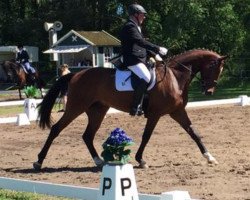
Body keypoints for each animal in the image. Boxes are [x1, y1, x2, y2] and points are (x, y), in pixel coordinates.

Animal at [32, 48, 227, 170]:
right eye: (215, 69)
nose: (209, 92)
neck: (175, 77)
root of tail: (76, 74)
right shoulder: (156, 114)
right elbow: (146, 136)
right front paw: (141, 160)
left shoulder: (177, 112)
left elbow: (194, 133)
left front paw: (210, 157)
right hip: (75, 107)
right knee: (56, 129)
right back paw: (39, 162)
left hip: (97, 110)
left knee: (87, 135)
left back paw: (99, 161)